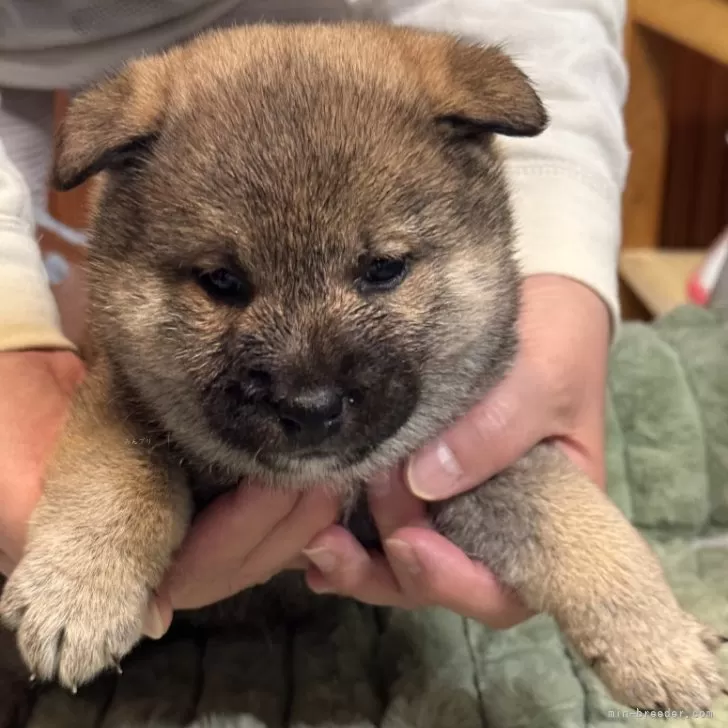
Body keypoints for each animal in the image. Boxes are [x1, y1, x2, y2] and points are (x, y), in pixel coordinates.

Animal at [2, 21, 724, 712]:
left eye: (383, 269)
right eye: (222, 282)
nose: (309, 408)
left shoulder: (474, 462)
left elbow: (576, 518)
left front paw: (658, 641)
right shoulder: (123, 392)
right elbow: (117, 475)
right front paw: (79, 590)